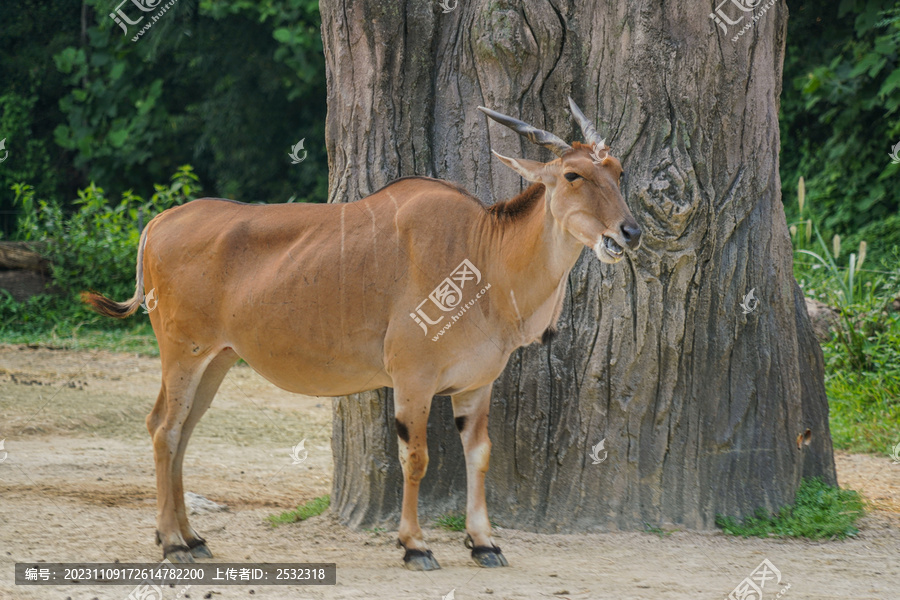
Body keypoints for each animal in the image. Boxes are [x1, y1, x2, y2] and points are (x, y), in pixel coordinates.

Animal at [81, 96, 636, 568]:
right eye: (573, 174)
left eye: (617, 172)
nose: (628, 232)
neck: (482, 253)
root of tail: (158, 223)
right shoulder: (412, 379)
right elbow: (415, 458)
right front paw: (415, 546)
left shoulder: (477, 385)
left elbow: (478, 456)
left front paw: (484, 543)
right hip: (182, 353)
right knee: (164, 429)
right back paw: (172, 541)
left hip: (216, 359)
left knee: (182, 431)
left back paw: (192, 537)